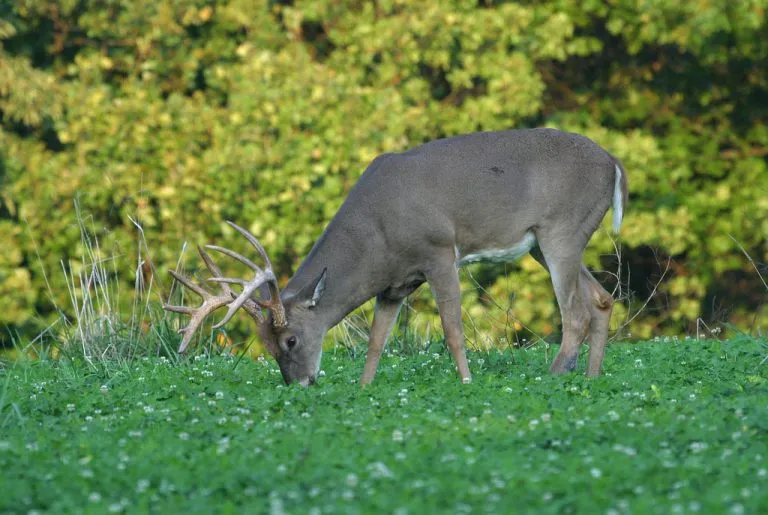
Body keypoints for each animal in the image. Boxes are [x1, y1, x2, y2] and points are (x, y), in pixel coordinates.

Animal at [164, 128, 628, 386]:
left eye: (290, 340)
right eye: (265, 345)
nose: (299, 383)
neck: (378, 235)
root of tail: (614, 163)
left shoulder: (439, 251)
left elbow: (452, 330)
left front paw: (466, 381)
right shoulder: (395, 283)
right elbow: (376, 341)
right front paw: (364, 388)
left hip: (561, 229)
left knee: (575, 311)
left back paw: (555, 374)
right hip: (543, 246)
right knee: (602, 299)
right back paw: (591, 377)